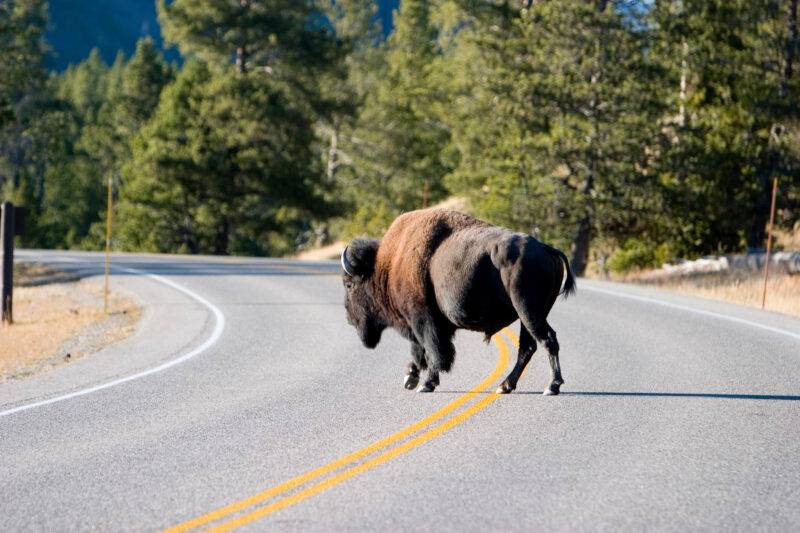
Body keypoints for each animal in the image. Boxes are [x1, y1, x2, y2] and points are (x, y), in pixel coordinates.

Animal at [341, 208, 575, 394]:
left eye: (349, 284)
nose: (349, 319)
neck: (390, 264)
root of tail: (545, 248)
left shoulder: (422, 320)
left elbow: (433, 351)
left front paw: (426, 383)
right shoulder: (428, 324)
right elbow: (421, 351)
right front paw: (411, 377)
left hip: (528, 311)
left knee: (547, 340)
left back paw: (551, 386)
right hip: (530, 315)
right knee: (528, 347)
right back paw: (505, 386)